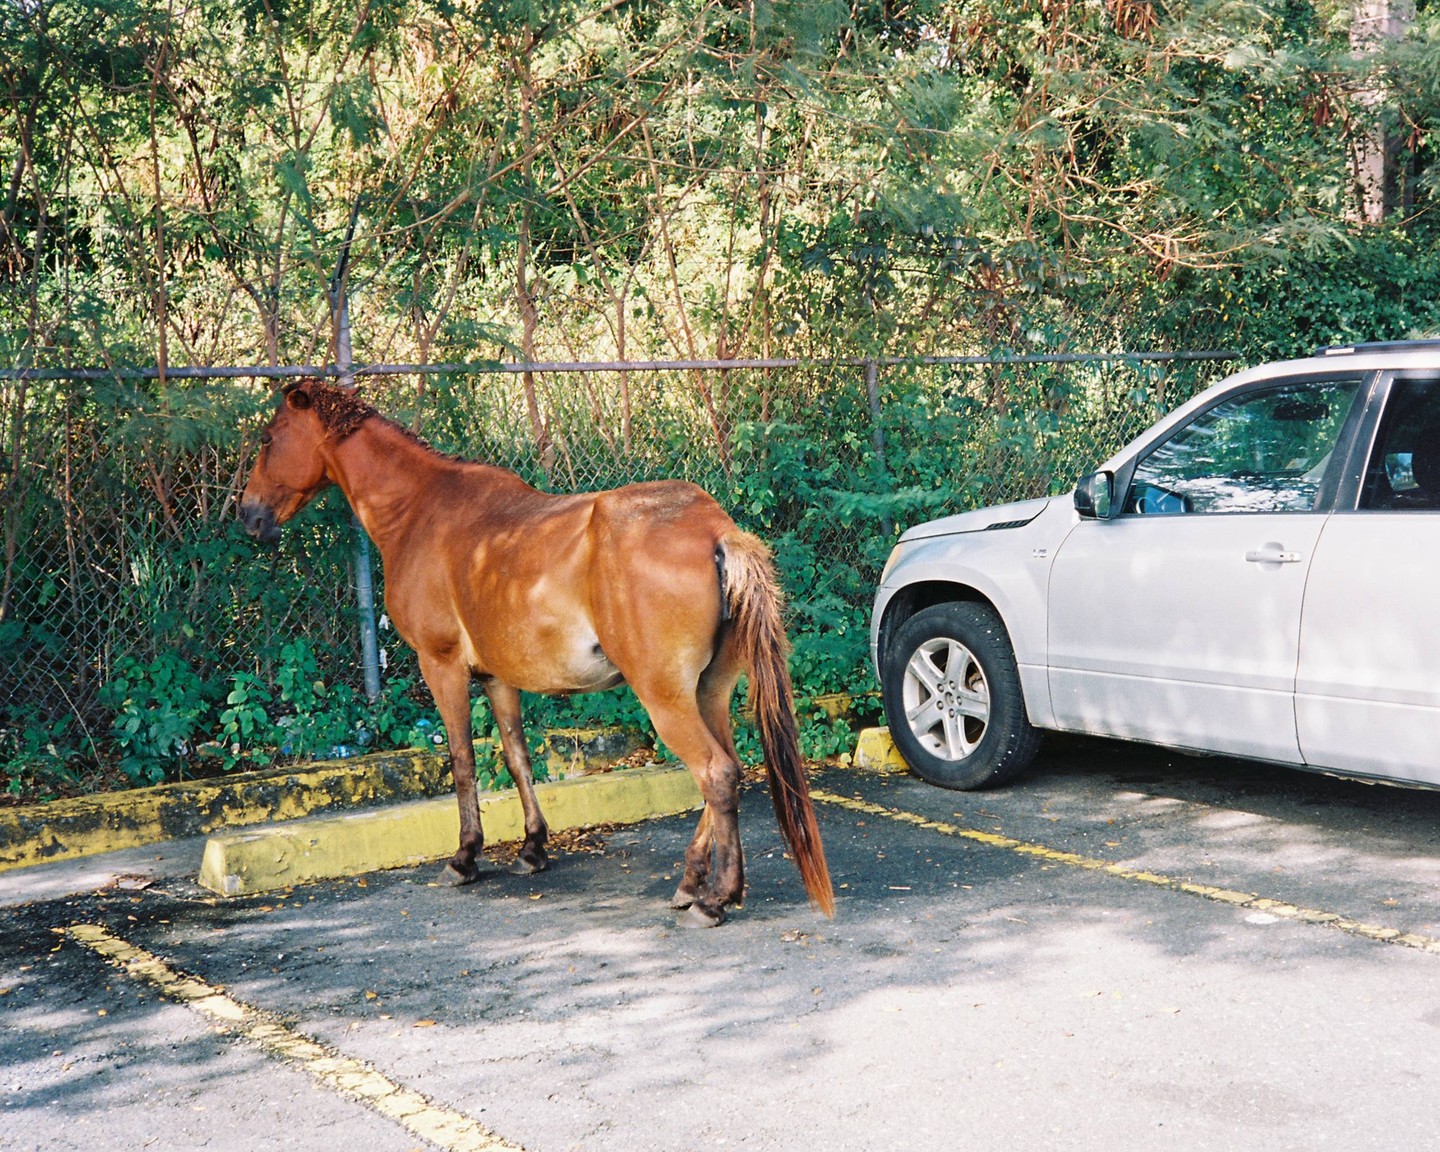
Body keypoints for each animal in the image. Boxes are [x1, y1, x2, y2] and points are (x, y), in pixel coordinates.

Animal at [238, 378, 834, 926]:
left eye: (268, 439)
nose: (248, 514)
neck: (420, 507)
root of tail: (715, 530)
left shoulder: (442, 667)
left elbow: (462, 761)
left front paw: (465, 856)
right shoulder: (497, 677)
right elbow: (517, 758)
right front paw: (532, 847)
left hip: (665, 698)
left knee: (716, 775)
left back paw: (714, 898)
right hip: (708, 694)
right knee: (729, 770)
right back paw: (692, 884)